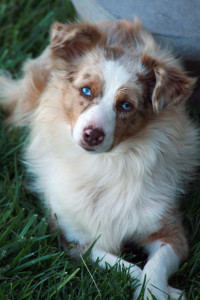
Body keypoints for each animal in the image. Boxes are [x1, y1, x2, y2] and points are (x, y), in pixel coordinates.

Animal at [0, 19, 198, 298]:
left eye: (126, 105)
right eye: (85, 90)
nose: (92, 134)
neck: (106, 164)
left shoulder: (169, 229)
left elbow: (154, 264)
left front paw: (157, 291)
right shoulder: (73, 238)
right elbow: (129, 266)